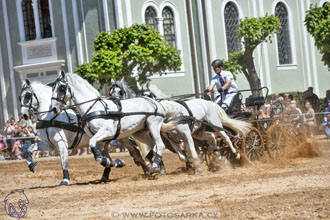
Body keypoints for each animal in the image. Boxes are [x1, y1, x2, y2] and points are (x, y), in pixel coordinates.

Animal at [51, 72, 180, 175]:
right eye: (53, 88)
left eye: (62, 87)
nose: (54, 108)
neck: (94, 108)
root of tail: (156, 103)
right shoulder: (104, 139)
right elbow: (103, 154)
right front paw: (111, 163)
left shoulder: (107, 132)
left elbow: (94, 145)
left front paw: (108, 162)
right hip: (140, 132)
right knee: (152, 146)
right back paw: (153, 167)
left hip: (153, 126)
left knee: (160, 145)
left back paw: (155, 166)